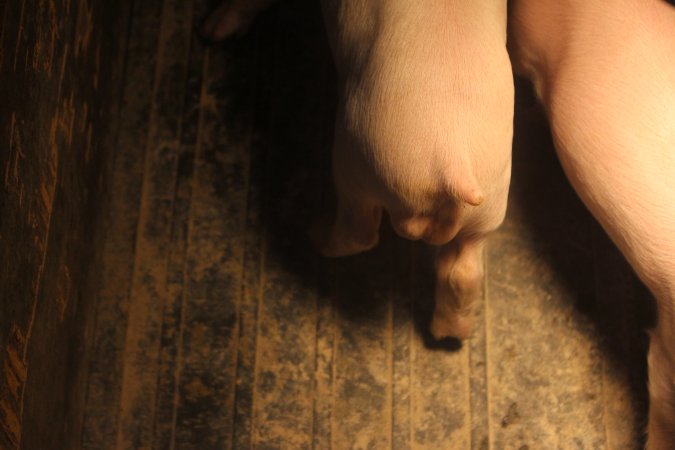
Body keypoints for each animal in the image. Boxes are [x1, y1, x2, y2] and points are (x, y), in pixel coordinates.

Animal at [199, 0, 512, 340]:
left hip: (357, 160)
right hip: (487, 210)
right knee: (463, 272)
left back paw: (315, 234)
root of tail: (455, 167)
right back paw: (449, 335)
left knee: (358, 232)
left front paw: (210, 31)